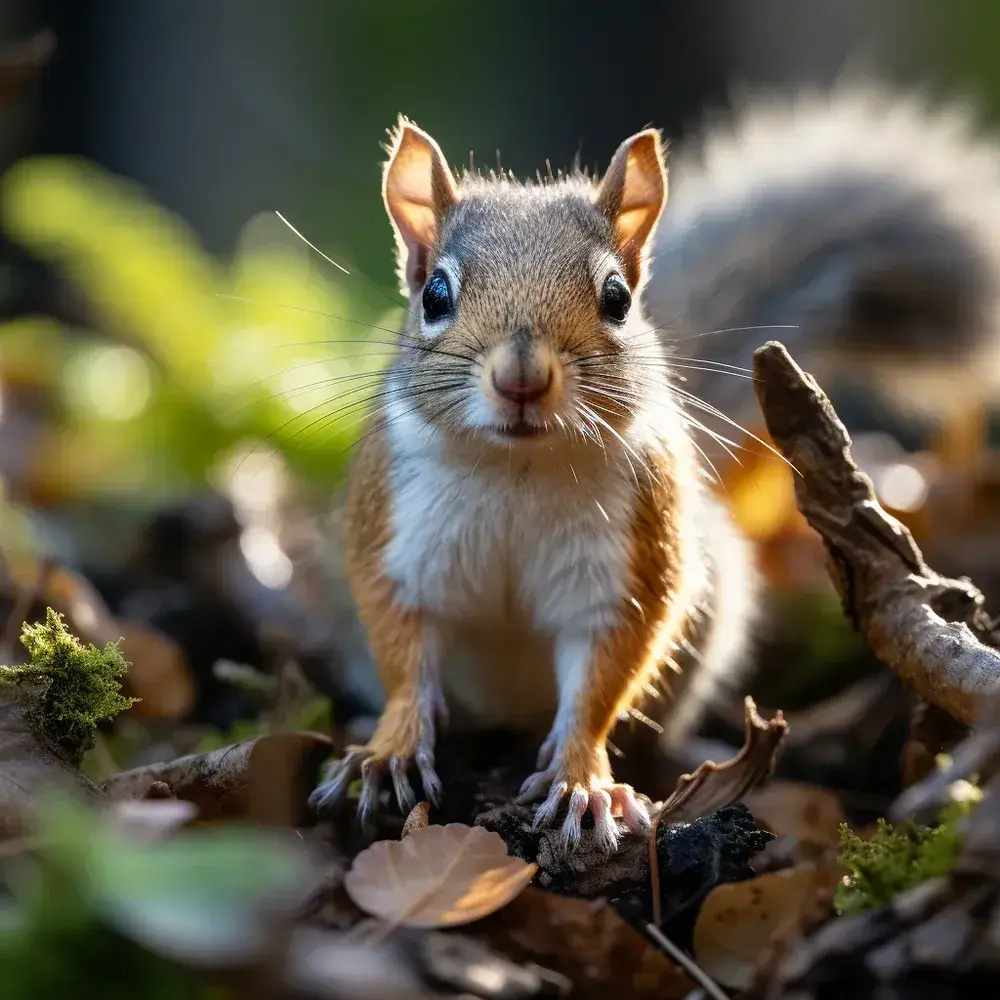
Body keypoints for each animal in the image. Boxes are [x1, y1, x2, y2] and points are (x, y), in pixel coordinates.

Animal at [307, 82, 1000, 850]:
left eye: (617, 298)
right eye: (434, 295)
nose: (521, 378)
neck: (518, 471)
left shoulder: (629, 566)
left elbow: (604, 677)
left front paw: (584, 783)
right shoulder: (396, 543)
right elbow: (403, 653)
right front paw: (388, 751)